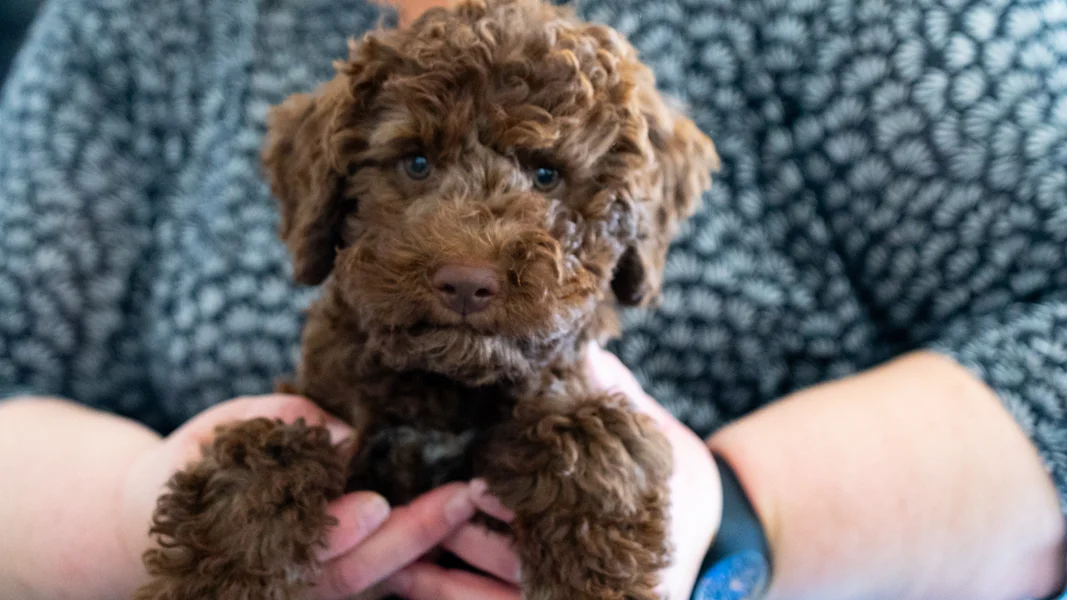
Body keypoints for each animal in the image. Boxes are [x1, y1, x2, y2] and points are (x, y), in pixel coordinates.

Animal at [133, 1, 717, 597]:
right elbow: (265, 452)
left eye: (546, 174)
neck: (445, 385)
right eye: (416, 163)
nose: (466, 281)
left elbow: (589, 438)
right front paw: (222, 573)